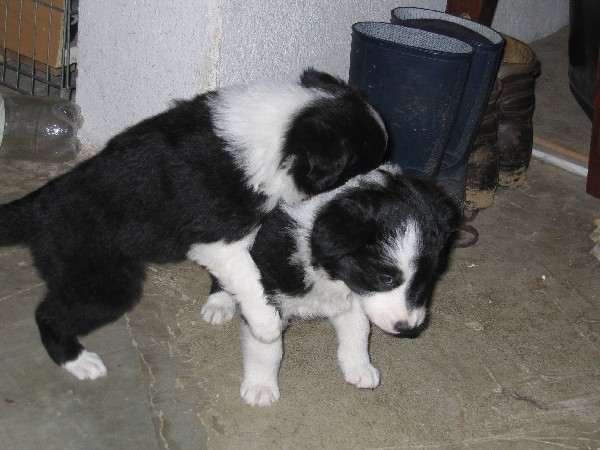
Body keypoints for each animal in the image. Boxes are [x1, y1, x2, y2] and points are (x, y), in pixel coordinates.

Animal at [0, 69, 386, 380]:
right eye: (360, 166)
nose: (386, 182)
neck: (281, 133)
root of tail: (40, 204)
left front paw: (224, 304)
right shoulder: (219, 238)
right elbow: (249, 277)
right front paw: (266, 326)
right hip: (103, 280)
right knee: (47, 314)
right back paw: (80, 362)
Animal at [209, 163, 458, 406]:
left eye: (429, 277)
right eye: (385, 278)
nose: (407, 328)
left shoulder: (354, 294)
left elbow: (359, 329)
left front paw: (360, 367)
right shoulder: (266, 290)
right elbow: (267, 346)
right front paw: (260, 387)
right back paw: (218, 304)